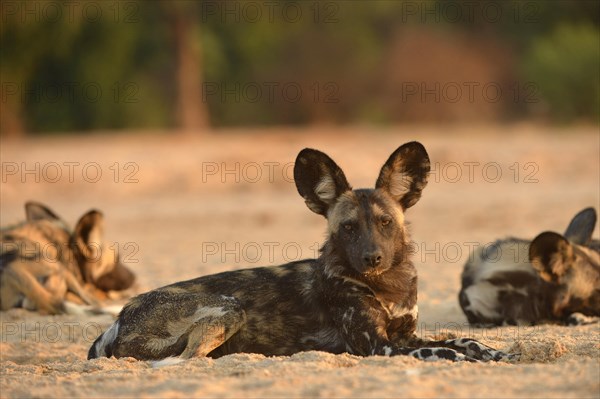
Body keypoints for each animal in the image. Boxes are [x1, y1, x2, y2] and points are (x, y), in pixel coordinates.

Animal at [89, 142, 516, 364]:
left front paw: (498, 353)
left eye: (385, 223)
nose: (372, 258)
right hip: (229, 306)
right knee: (184, 359)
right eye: (348, 228)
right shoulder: (379, 346)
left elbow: (464, 341)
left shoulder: (405, 335)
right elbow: (443, 352)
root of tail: (122, 315)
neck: (386, 286)